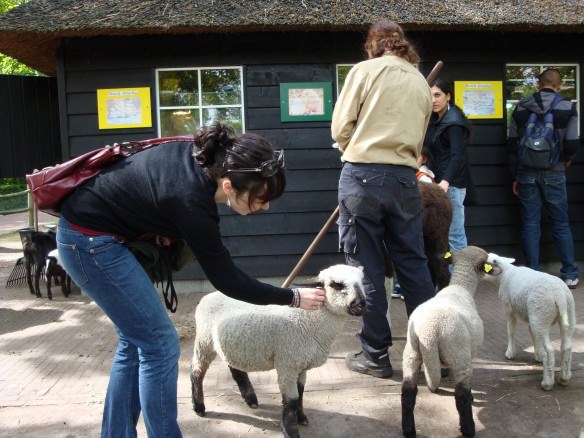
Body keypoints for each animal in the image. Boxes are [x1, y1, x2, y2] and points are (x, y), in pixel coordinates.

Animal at [192, 264, 364, 438]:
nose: (361, 304)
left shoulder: (301, 365)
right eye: (336, 285)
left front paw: (301, 418)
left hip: (231, 345)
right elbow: (292, 400)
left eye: (361, 282)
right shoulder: (287, 364)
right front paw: (290, 430)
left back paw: (251, 400)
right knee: (197, 371)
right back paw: (199, 407)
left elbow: (301, 393)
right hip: (204, 340)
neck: (309, 320)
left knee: (236, 370)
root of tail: (209, 296)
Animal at [402, 246, 502, 438]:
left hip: (411, 353)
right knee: (460, 395)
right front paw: (472, 398)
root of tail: (429, 332)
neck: (460, 285)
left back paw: (408, 430)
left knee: (408, 391)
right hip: (458, 354)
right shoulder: (470, 353)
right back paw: (468, 429)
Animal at [486, 252, 576, 392]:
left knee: (549, 351)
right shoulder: (531, 316)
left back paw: (547, 383)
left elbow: (510, 331)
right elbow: (532, 334)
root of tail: (558, 294)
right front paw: (538, 355)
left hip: (541, 313)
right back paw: (564, 379)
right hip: (563, 314)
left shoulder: (509, 309)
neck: (505, 274)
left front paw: (510, 353)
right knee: (566, 347)